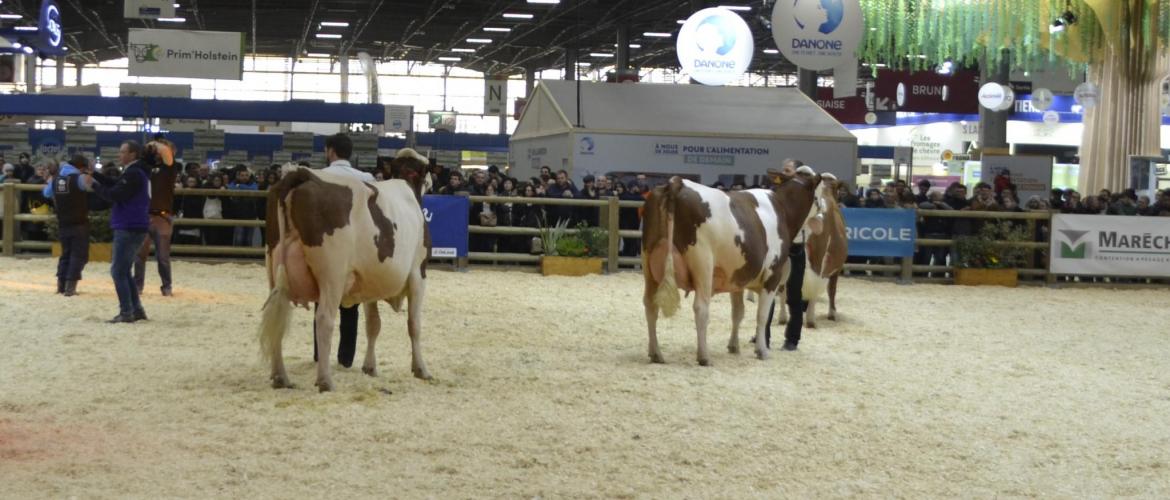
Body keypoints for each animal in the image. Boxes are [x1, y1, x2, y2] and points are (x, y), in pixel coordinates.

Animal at [257, 147, 435, 391]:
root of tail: (302, 174)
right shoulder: (418, 273)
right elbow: (414, 324)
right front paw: (421, 369)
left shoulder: (371, 281)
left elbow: (373, 325)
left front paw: (370, 367)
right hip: (332, 274)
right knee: (324, 319)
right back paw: (325, 381)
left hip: (274, 270)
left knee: (277, 317)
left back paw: (280, 376)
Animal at [645, 166, 828, 365]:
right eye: (820, 190)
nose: (825, 209)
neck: (782, 209)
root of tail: (677, 183)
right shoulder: (773, 274)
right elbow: (762, 315)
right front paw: (762, 350)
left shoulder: (738, 277)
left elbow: (738, 313)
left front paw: (734, 346)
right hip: (703, 263)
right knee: (701, 307)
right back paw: (704, 356)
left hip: (649, 263)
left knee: (650, 305)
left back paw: (656, 353)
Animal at [781, 174, 847, 330]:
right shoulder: (836, 269)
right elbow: (831, 289)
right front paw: (832, 313)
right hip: (818, 258)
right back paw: (810, 319)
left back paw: (783, 317)